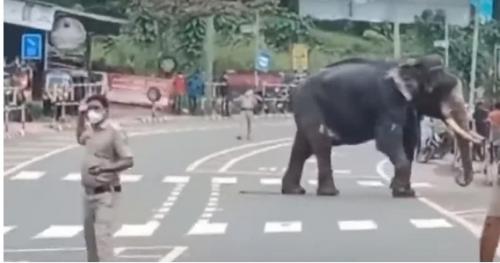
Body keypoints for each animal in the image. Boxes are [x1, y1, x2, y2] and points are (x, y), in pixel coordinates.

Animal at [284, 54, 482, 198]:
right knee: (321, 143)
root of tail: (295, 87)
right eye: (441, 90)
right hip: (309, 103)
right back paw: (330, 193)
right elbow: (388, 141)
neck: (410, 65)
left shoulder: (407, 107)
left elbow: (409, 141)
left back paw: (294, 191)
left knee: (302, 147)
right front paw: (401, 192)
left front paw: (406, 192)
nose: (458, 179)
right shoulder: (389, 100)